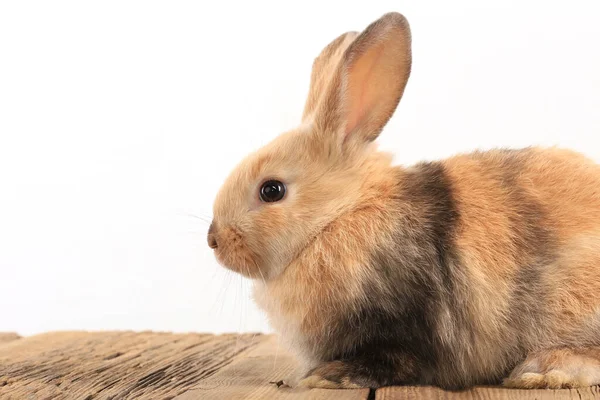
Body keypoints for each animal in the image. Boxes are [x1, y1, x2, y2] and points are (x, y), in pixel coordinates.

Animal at [209, 10, 600, 390]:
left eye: (271, 190)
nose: (214, 239)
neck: (339, 217)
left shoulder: (403, 323)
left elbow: (392, 361)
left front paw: (327, 376)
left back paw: (543, 370)